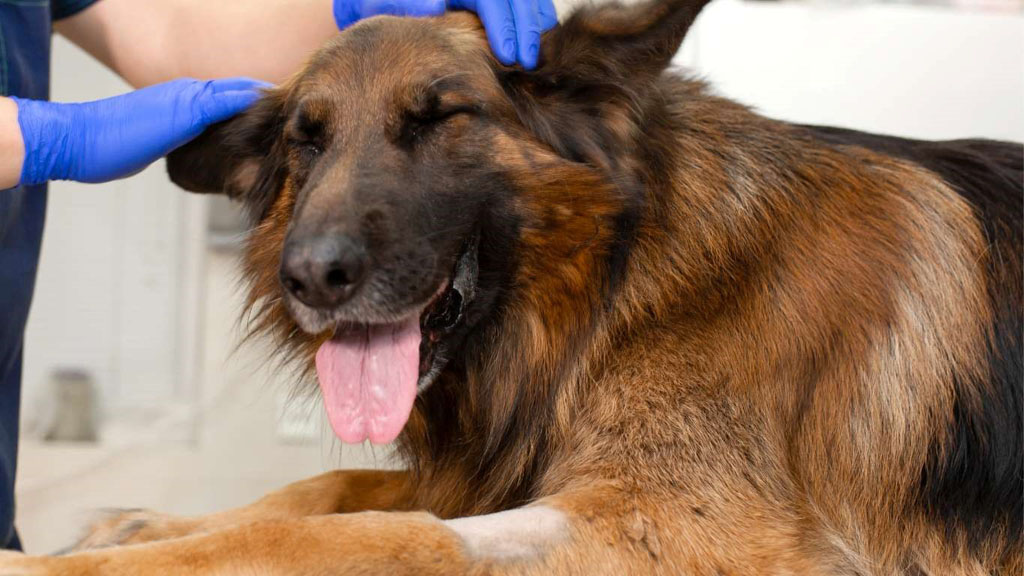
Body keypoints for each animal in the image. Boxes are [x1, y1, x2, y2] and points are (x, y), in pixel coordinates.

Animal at [4, 0, 1019, 569]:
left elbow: (367, 535)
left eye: (439, 119)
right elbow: (330, 486)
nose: (312, 278)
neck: (619, 283)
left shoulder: (677, 525)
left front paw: (54, 568)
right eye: (306, 139)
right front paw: (149, 526)